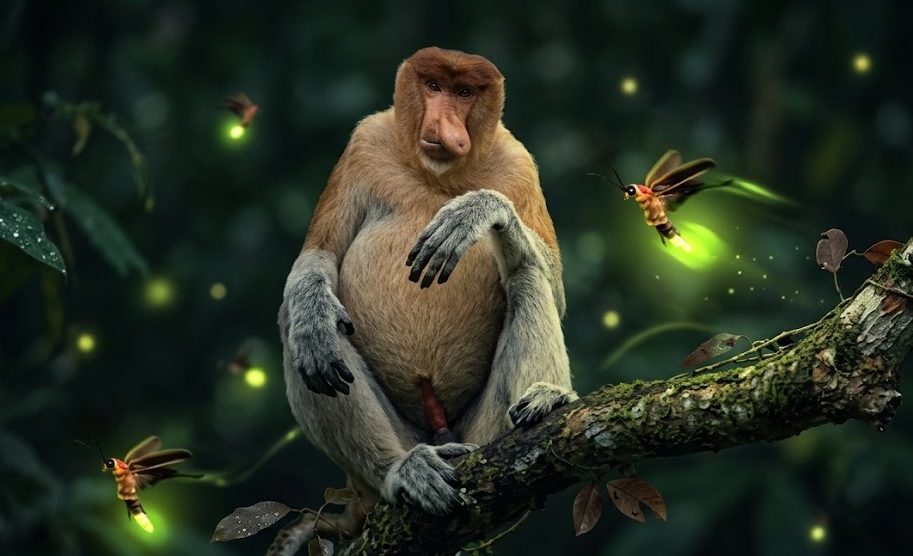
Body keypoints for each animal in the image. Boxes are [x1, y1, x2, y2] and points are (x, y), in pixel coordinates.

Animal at [278, 46, 578, 537]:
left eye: (464, 92)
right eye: (434, 86)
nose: (444, 125)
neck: (436, 174)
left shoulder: (518, 164)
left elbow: (552, 284)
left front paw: (473, 211)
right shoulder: (363, 145)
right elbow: (319, 256)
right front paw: (311, 321)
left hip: (485, 432)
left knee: (526, 276)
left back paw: (546, 401)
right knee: (299, 327)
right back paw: (404, 470)